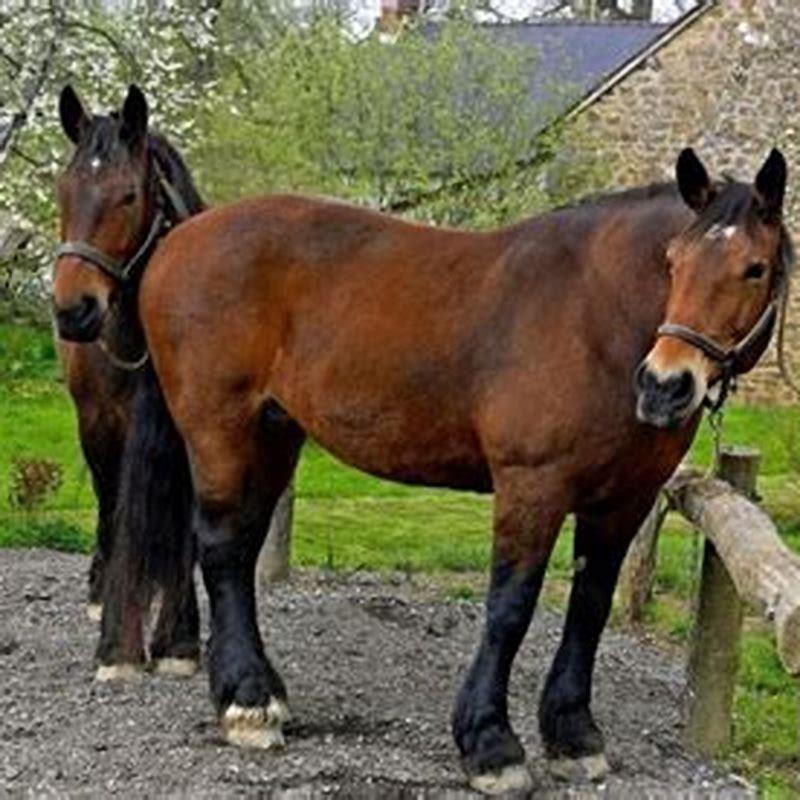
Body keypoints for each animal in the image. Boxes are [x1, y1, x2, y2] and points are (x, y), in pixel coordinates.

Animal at [52, 146, 791, 793]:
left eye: (754, 268)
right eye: (674, 261)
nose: (666, 385)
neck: (596, 313)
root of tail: (178, 243)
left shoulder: (623, 501)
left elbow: (590, 607)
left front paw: (574, 735)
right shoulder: (532, 485)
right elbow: (510, 608)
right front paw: (490, 745)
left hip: (273, 435)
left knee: (236, 548)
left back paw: (260, 690)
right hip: (217, 430)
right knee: (222, 551)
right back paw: (248, 704)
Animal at [55, 84, 205, 676]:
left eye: (127, 197)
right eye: (64, 191)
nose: (74, 310)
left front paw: (179, 639)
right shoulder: (99, 427)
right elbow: (116, 517)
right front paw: (117, 645)